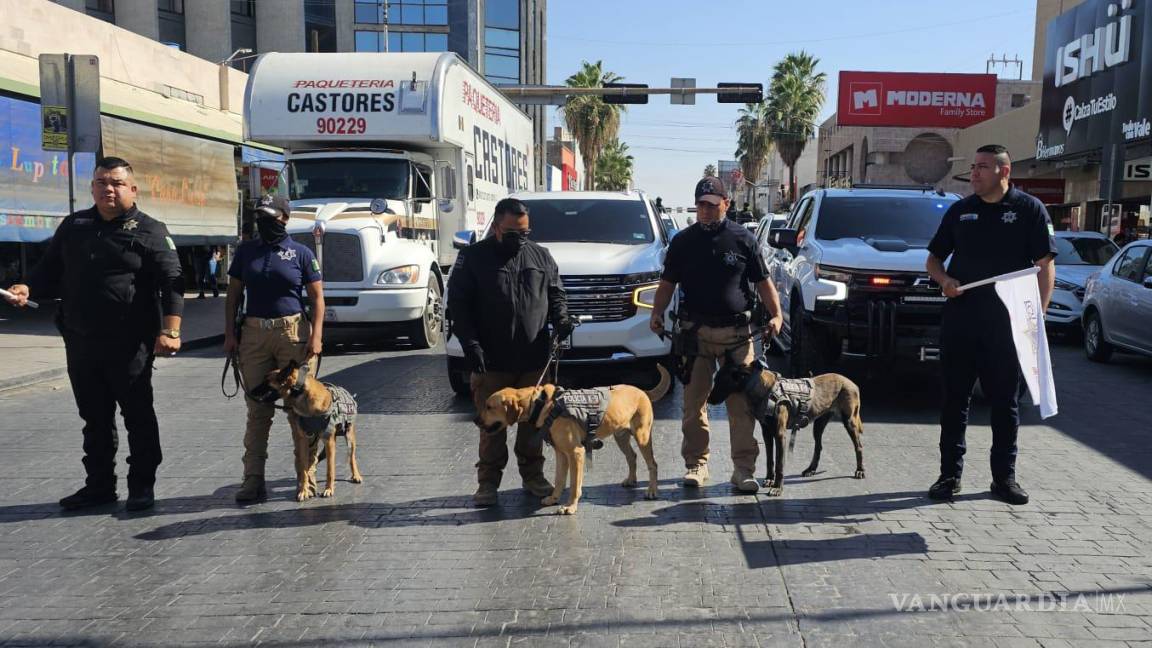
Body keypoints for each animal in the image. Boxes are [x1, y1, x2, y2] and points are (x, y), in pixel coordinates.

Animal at [266, 357, 364, 500]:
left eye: (265, 382)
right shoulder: (304, 441)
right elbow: (304, 469)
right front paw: (303, 490)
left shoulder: (329, 442)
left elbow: (330, 469)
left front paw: (329, 489)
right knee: (317, 458)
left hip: (349, 438)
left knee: (351, 457)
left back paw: (356, 475)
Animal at [474, 373, 672, 514]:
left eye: (489, 407)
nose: (476, 421)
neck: (541, 404)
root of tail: (642, 391)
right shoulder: (561, 454)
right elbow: (560, 480)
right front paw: (553, 499)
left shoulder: (576, 453)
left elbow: (575, 485)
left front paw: (570, 507)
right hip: (621, 436)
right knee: (632, 457)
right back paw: (631, 480)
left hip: (642, 436)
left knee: (653, 464)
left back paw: (652, 490)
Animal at [705, 355, 861, 495]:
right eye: (715, 380)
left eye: (721, 382)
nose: (709, 401)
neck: (762, 388)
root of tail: (850, 382)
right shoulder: (767, 433)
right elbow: (770, 460)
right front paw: (769, 479)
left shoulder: (780, 434)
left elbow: (779, 464)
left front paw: (777, 488)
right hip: (819, 424)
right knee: (819, 446)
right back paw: (811, 469)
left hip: (849, 421)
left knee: (858, 446)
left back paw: (860, 470)